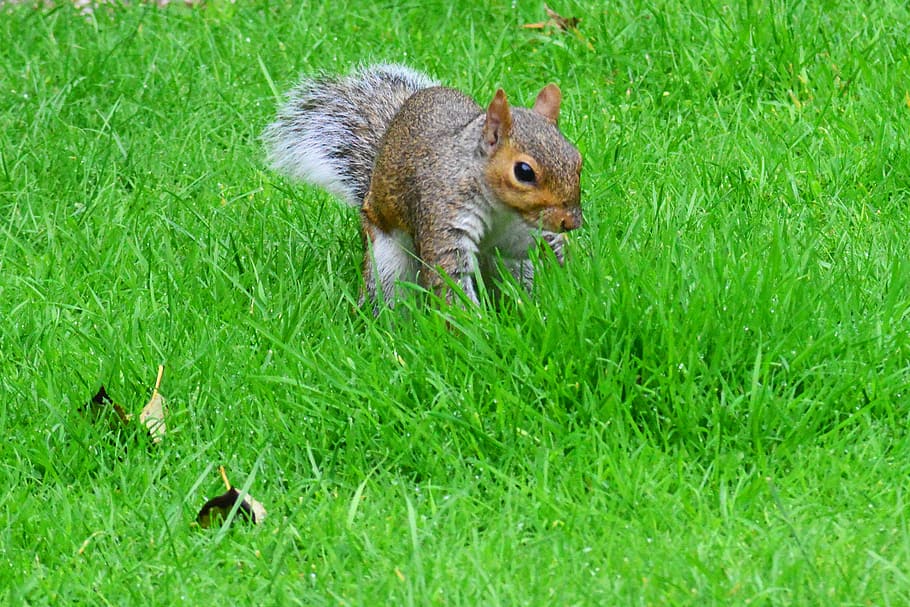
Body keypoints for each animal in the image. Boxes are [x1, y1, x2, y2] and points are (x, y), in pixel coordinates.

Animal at [263, 63, 583, 309]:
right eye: (524, 171)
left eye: (577, 159)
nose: (571, 222)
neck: (501, 210)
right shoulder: (442, 213)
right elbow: (449, 276)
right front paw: (477, 331)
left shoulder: (521, 233)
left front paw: (573, 286)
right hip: (387, 264)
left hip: (511, 267)